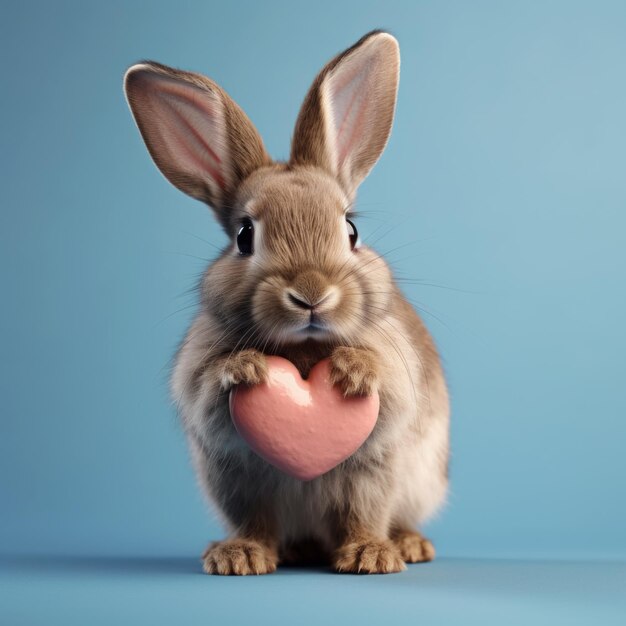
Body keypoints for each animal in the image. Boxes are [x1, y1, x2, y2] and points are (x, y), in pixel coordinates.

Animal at [123, 31, 448, 572]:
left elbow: (385, 382)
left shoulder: (392, 399)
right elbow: (208, 385)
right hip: (238, 484)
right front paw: (246, 369)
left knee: (368, 515)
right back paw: (243, 555)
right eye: (244, 236)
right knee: (259, 524)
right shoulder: (203, 396)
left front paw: (354, 371)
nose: (311, 294)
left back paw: (384, 551)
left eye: (351, 230)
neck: (303, 348)